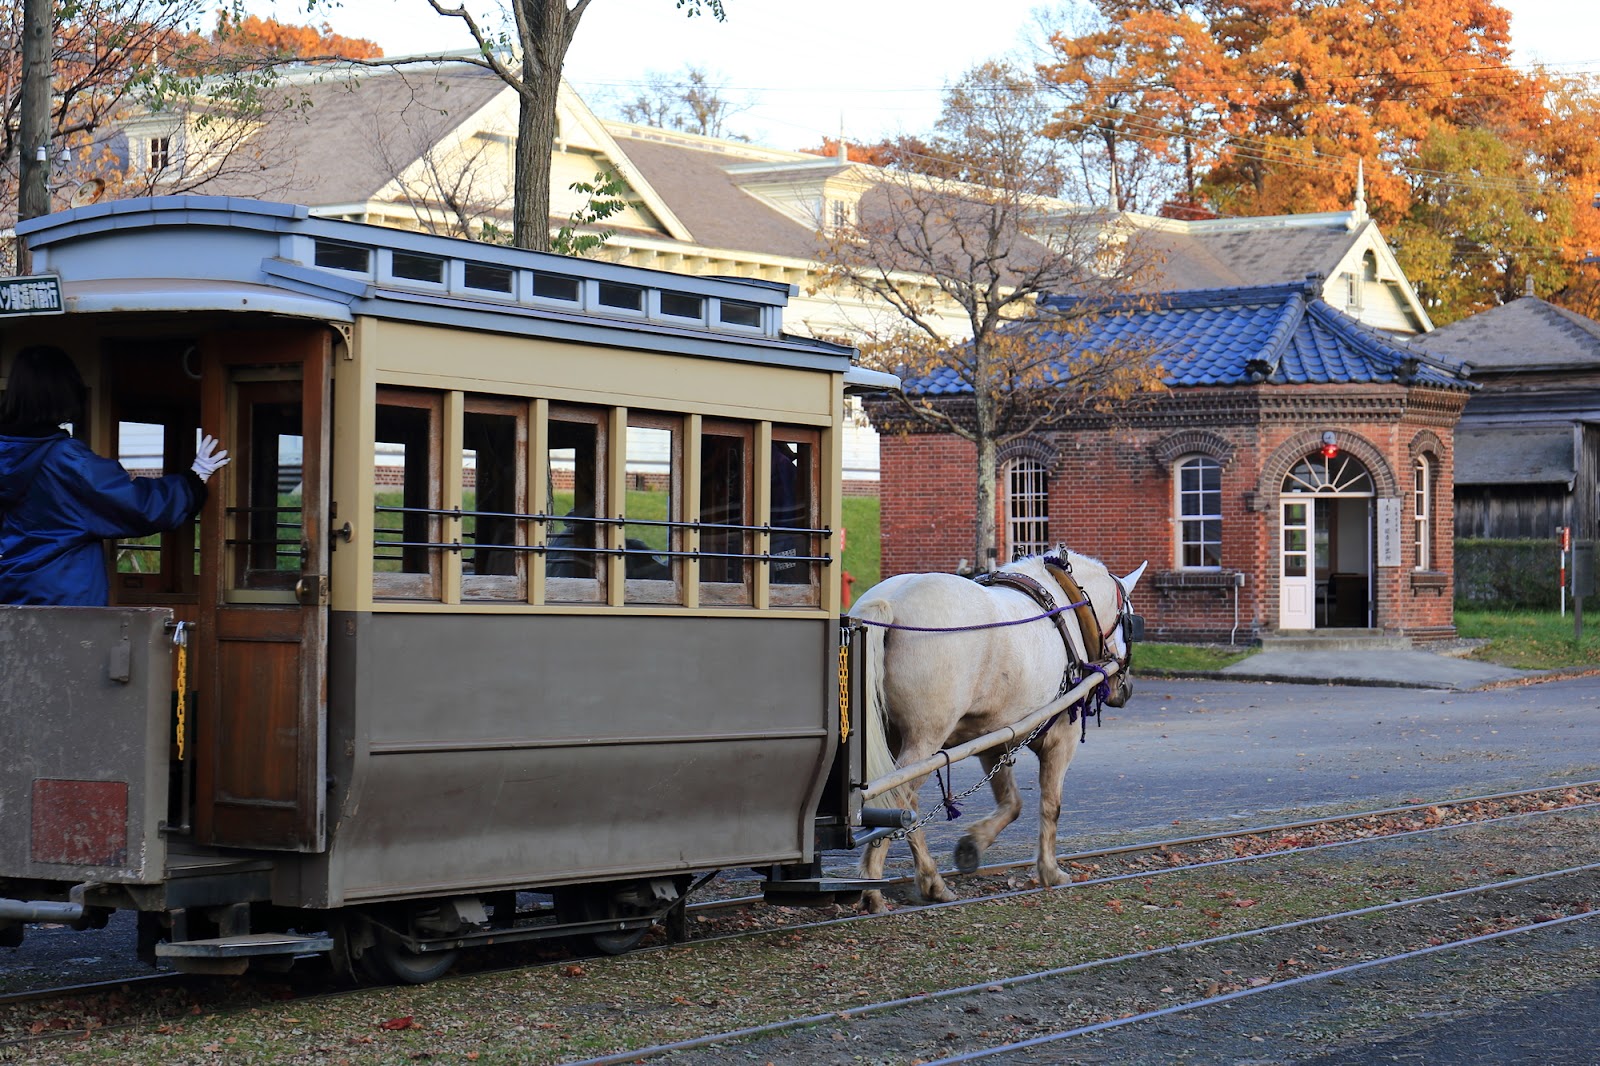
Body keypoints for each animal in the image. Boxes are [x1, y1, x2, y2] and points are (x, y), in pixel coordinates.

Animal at [851, 544, 1139, 909]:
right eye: (1131, 622)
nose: (1126, 690)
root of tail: (890, 601)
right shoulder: (1062, 737)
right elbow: (1051, 805)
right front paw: (1050, 871)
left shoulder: (991, 737)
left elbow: (1011, 804)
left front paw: (972, 845)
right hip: (925, 738)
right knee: (897, 798)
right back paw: (873, 888)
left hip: (891, 737)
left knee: (900, 803)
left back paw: (931, 882)